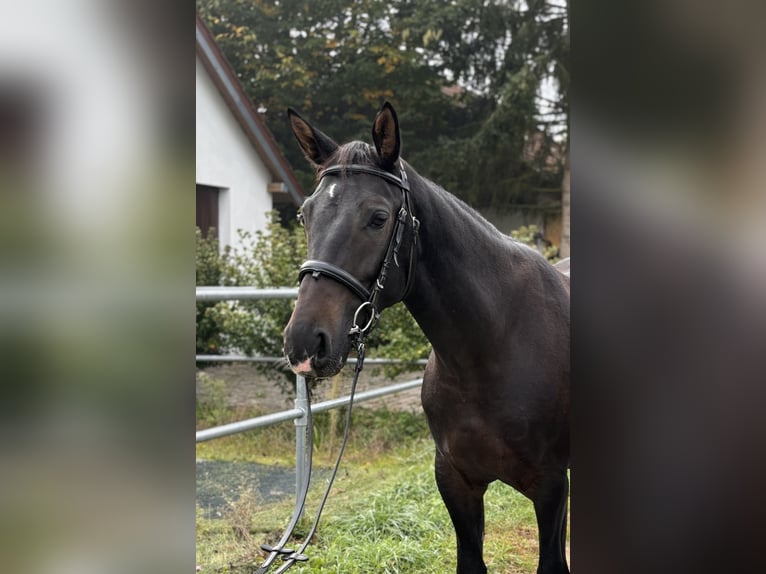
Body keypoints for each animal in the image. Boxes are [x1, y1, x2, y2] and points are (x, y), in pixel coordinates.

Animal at [282, 101, 568, 572]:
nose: (305, 342)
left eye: (378, 218)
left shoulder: (550, 487)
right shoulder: (456, 482)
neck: (492, 351)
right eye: (306, 214)